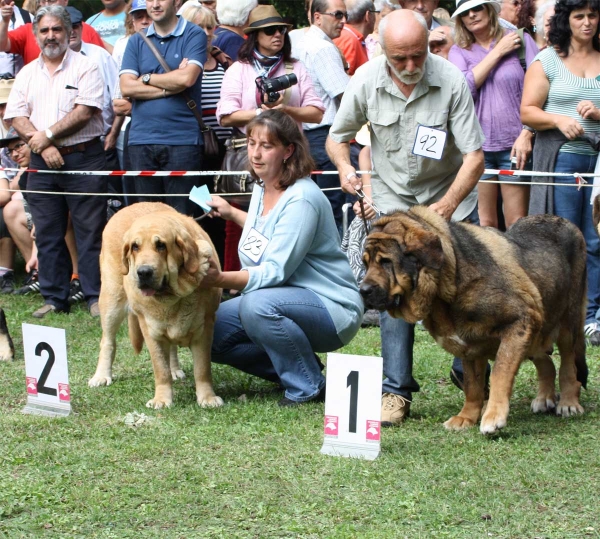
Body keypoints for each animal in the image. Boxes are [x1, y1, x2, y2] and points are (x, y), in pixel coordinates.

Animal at [91, 202, 225, 410]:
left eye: (161, 245)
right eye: (135, 247)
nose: (144, 272)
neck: (172, 297)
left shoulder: (204, 328)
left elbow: (202, 369)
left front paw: (207, 397)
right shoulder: (151, 330)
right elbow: (160, 369)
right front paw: (162, 399)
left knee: (172, 348)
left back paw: (175, 370)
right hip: (111, 301)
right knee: (108, 341)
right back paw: (101, 376)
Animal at [358, 207, 588, 434]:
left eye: (386, 262)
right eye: (366, 263)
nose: (363, 290)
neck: (449, 281)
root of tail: (567, 222)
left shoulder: (520, 322)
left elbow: (500, 372)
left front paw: (493, 417)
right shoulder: (470, 347)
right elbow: (472, 385)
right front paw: (466, 417)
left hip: (568, 323)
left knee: (569, 366)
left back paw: (568, 403)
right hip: (538, 330)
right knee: (546, 362)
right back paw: (544, 398)